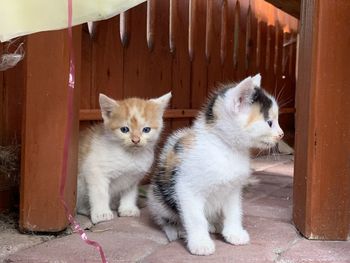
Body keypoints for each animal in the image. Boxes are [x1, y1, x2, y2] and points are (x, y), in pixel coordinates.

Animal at [77, 92, 172, 225]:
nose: (136, 140)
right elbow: (100, 193)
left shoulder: (133, 176)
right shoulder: (95, 171)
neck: (130, 156)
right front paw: (101, 213)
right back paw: (87, 209)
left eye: (146, 129)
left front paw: (128, 209)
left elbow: (129, 192)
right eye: (124, 129)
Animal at [148, 74, 284, 256]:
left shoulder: (233, 189)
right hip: (157, 198)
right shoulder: (186, 188)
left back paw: (214, 225)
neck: (226, 149)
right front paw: (200, 243)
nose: (281, 134)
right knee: (164, 217)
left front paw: (234, 233)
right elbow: (196, 218)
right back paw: (175, 230)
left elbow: (234, 212)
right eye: (269, 122)